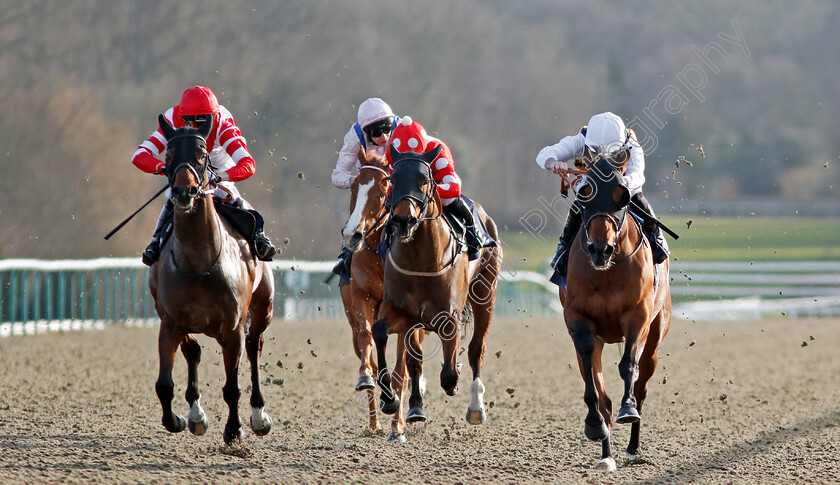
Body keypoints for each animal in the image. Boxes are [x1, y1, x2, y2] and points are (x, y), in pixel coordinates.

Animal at [146, 113, 274, 442]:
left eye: (202, 155)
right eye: (168, 155)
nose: (184, 192)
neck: (199, 262)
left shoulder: (232, 329)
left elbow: (232, 387)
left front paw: (234, 429)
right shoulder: (170, 323)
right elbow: (164, 385)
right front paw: (178, 419)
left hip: (263, 308)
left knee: (254, 347)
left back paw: (258, 415)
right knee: (193, 351)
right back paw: (196, 415)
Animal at [372, 145, 502, 442]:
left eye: (424, 180)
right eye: (392, 179)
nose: (403, 220)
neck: (421, 258)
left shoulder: (449, 316)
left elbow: (450, 371)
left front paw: (453, 380)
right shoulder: (400, 311)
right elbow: (381, 333)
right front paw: (389, 399)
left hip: (486, 293)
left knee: (477, 349)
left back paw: (475, 407)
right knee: (414, 358)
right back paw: (414, 408)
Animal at [560, 150, 672, 468]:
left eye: (621, 196)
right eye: (584, 193)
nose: (600, 249)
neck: (607, 272)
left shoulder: (638, 317)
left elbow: (628, 366)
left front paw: (628, 409)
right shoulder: (577, 319)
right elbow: (592, 378)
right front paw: (594, 424)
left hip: (656, 334)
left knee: (642, 384)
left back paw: (633, 445)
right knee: (601, 390)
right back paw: (606, 453)